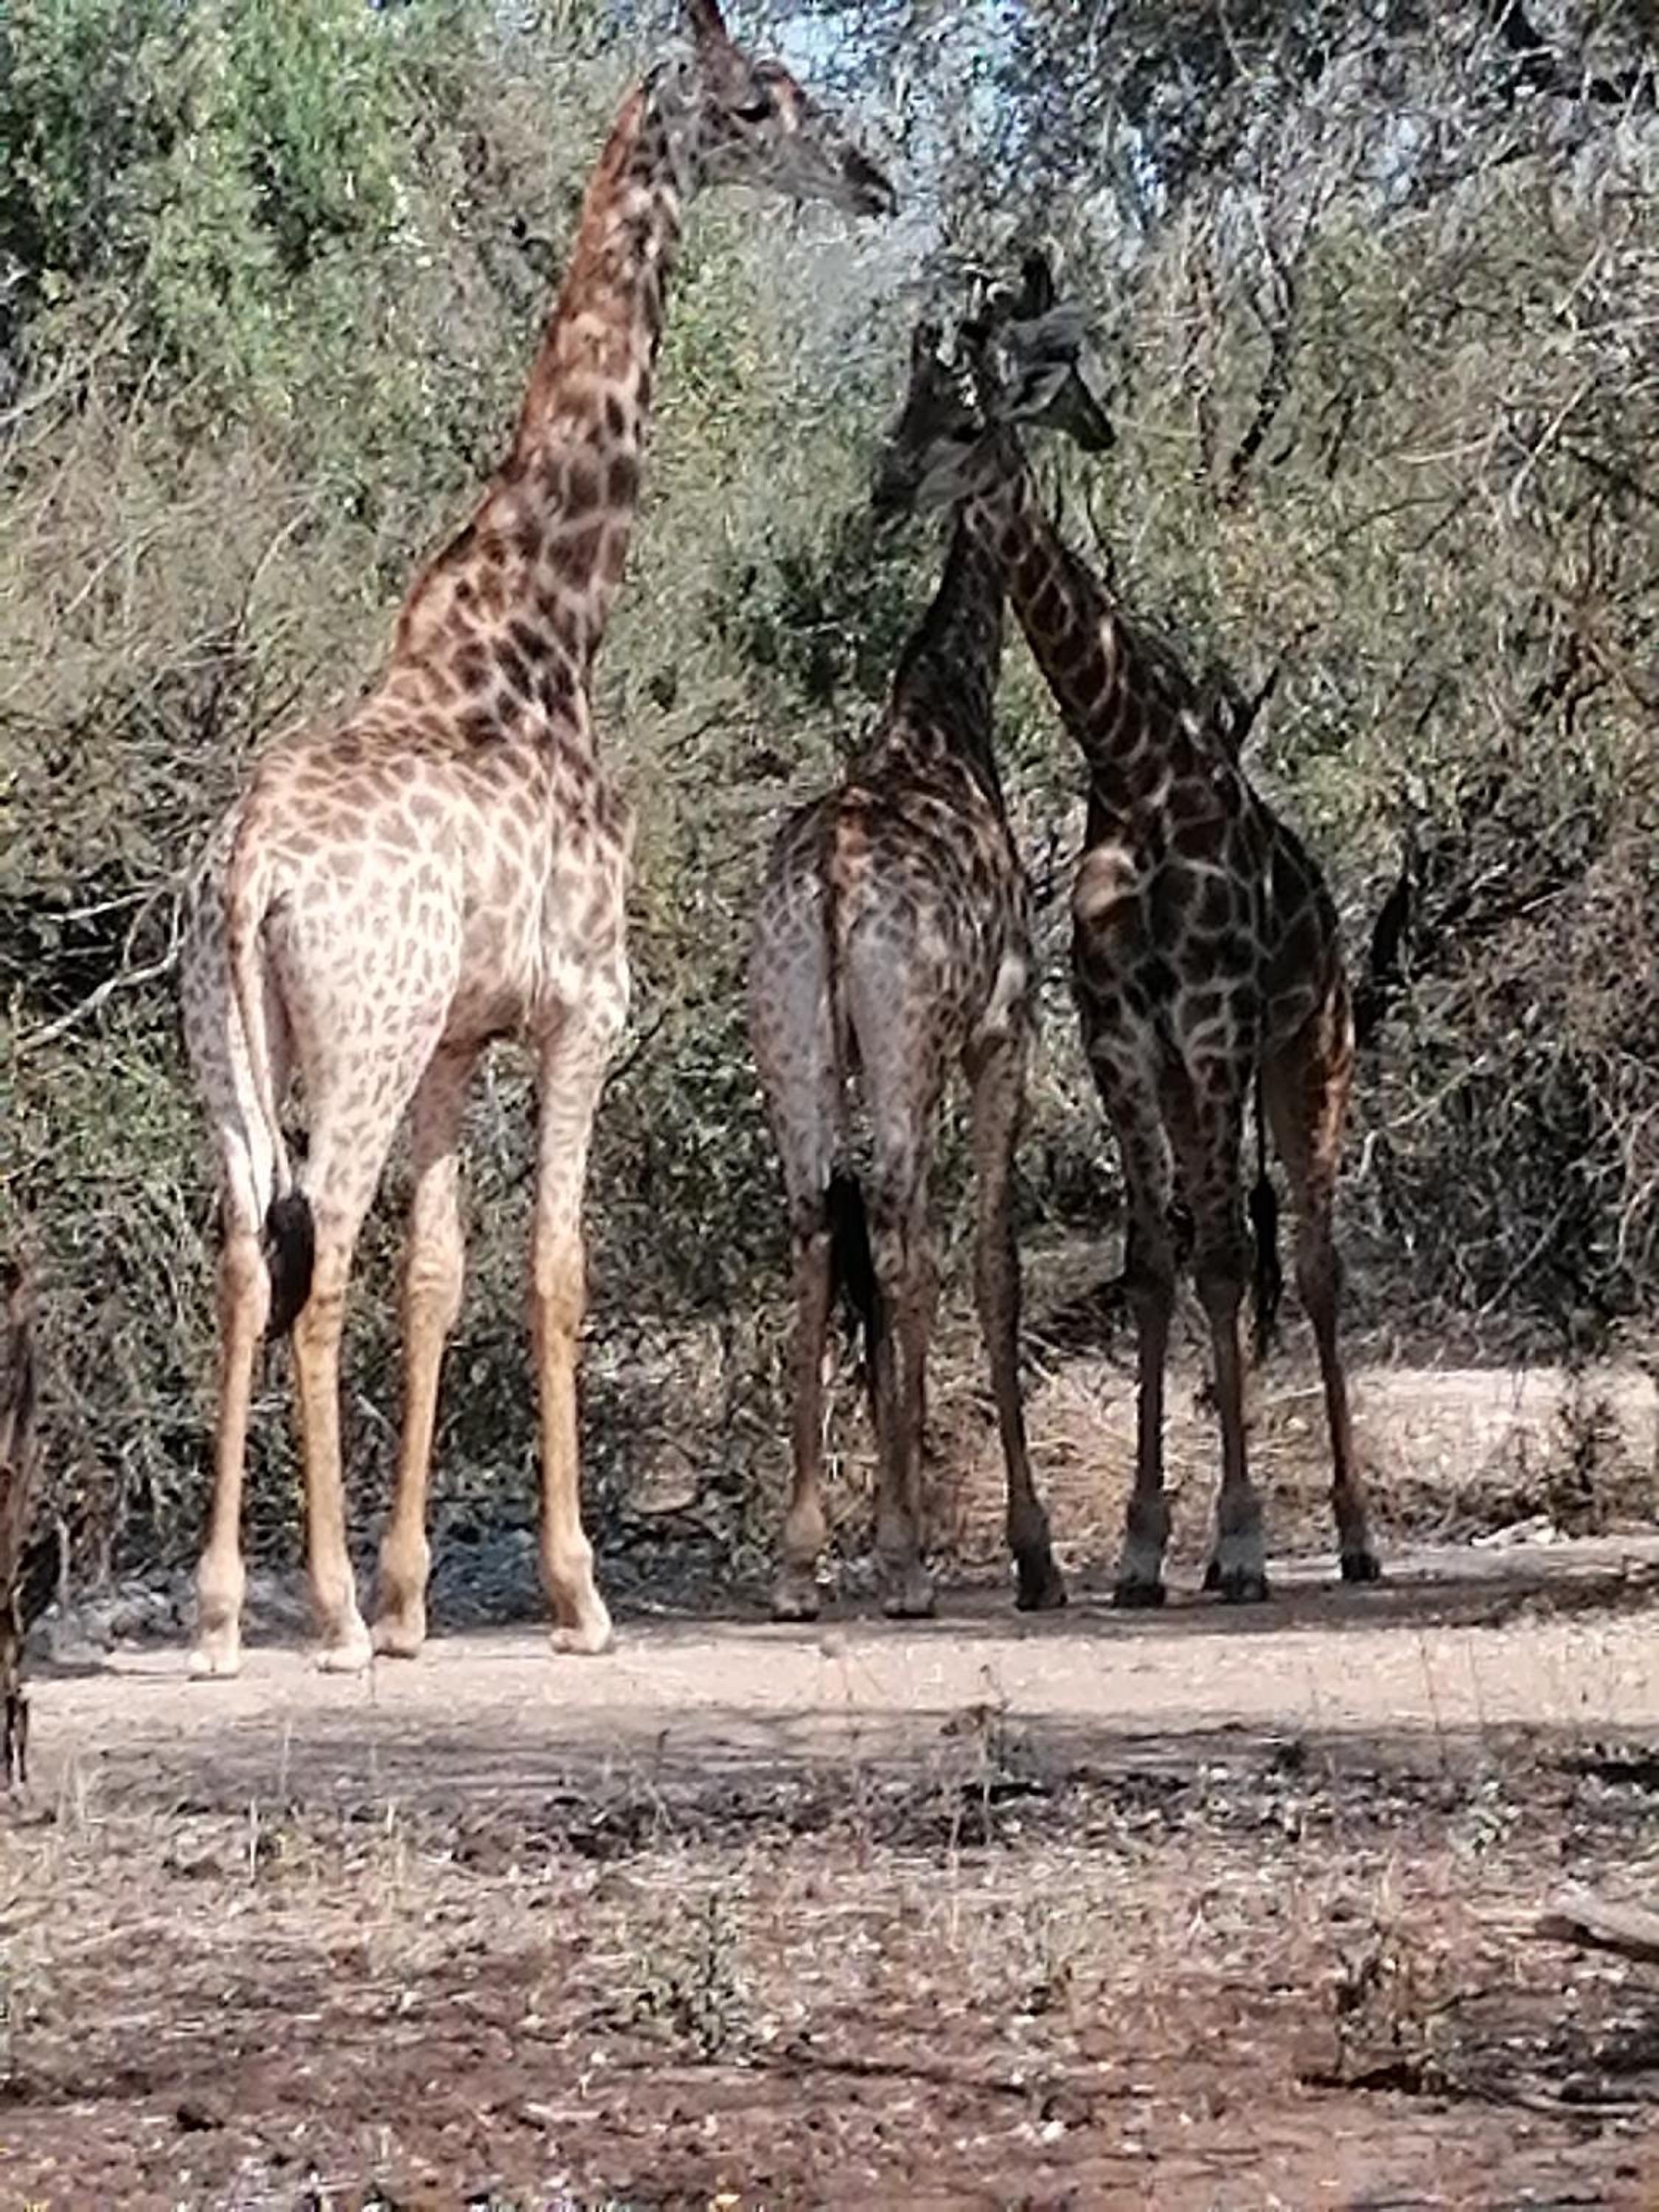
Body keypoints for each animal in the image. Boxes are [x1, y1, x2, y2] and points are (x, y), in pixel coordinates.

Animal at [177, 0, 895, 1679]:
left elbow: (440, 1280)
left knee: (246, 1254)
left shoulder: (462, 1038)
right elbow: (557, 1272)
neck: (543, 636)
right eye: (762, 101)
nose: (875, 173)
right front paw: (571, 1594)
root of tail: (247, 880)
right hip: (356, 1042)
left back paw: (225, 1611)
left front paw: (413, 1598)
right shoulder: (585, 1004)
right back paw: (316, 1616)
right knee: (317, 1259)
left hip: (229, 1051)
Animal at [746, 308, 1109, 1622]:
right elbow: (992, 1262)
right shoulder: (1004, 1032)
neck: (946, 717)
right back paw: (900, 1558)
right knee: (900, 1227)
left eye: (937, 419)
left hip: (792, 1042)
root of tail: (832, 884)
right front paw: (1031, 1552)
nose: (888, 486)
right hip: (901, 1047)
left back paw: (800, 1561)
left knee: (813, 1222)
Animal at [878, 258, 1381, 1606]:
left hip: (1307, 1049)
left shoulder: (1205, 1019)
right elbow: (1156, 1259)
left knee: (1314, 1260)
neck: (1133, 762)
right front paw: (1147, 1547)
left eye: (965, 424)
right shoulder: (1119, 1030)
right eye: (901, 412)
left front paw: (1241, 1539)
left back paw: (1356, 1537)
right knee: (1233, 1243)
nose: (885, 492)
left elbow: (1221, 1257)